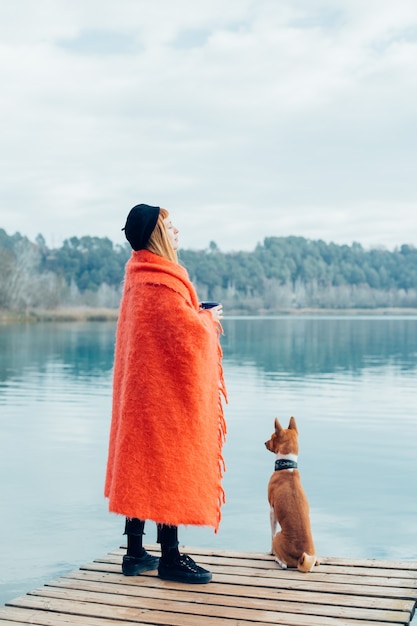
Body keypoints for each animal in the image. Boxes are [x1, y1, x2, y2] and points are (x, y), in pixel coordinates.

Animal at [264, 414, 316, 572]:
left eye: (272, 436)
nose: (264, 442)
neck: (287, 466)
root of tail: (301, 556)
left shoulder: (272, 510)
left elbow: (271, 533)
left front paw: (271, 552)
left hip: (278, 536)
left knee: (284, 564)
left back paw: (278, 560)